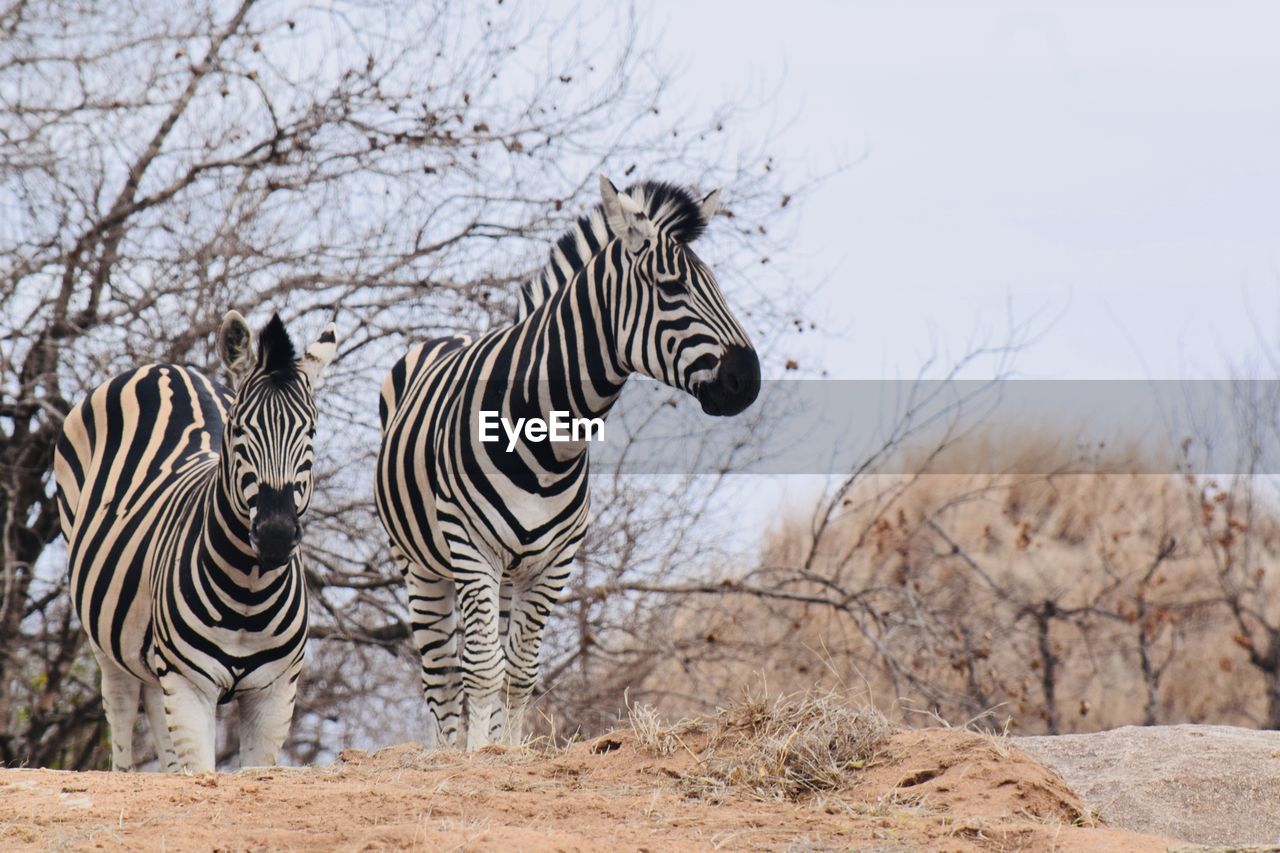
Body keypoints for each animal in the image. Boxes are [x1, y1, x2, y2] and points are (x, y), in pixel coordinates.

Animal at [55, 312, 337, 768]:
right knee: (120, 704)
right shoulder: (190, 686)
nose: (275, 534)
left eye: (310, 432)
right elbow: (201, 768)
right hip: (104, 634)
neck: (249, 591)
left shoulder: (275, 694)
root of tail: (165, 368)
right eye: (239, 429)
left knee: (154, 705)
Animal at [376, 175, 757, 747]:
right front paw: (477, 756)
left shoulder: (556, 560)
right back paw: (447, 751)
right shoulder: (472, 547)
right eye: (671, 289)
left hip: (506, 572)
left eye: (716, 285)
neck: (546, 441)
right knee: (441, 672)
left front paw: (506, 752)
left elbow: (520, 670)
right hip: (419, 561)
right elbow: (481, 669)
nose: (748, 380)